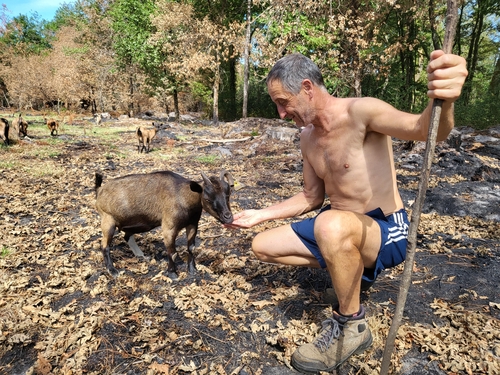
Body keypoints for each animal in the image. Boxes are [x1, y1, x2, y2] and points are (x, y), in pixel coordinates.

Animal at [94, 170, 235, 280]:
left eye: (228, 195)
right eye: (207, 199)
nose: (228, 217)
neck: (182, 195)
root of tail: (99, 190)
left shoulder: (192, 224)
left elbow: (191, 248)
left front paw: (192, 270)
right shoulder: (169, 228)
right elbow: (172, 253)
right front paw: (173, 274)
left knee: (127, 236)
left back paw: (142, 256)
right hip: (108, 220)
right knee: (104, 245)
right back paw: (113, 271)